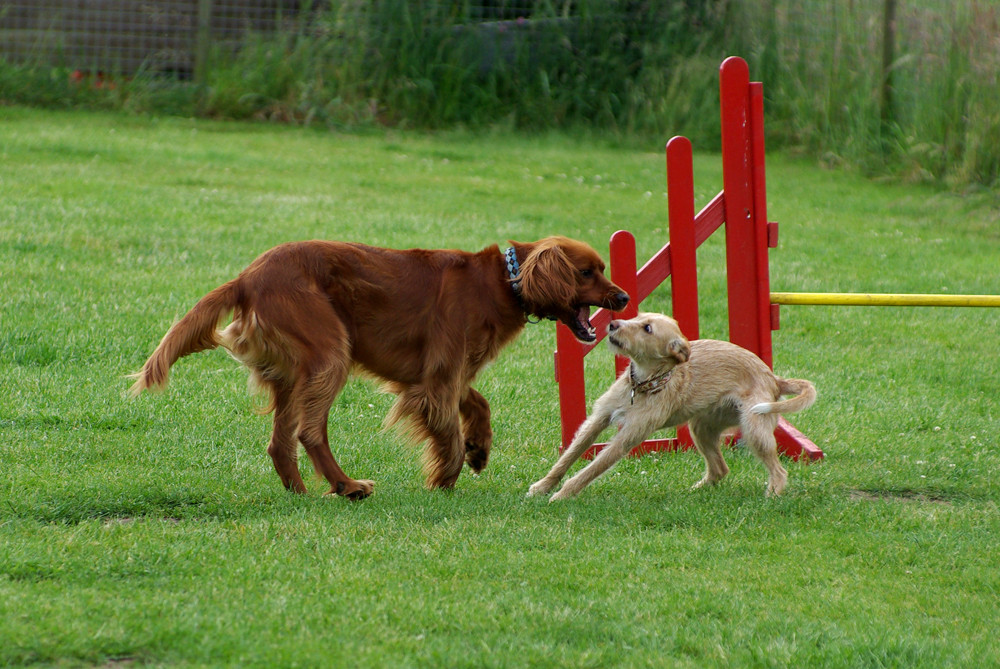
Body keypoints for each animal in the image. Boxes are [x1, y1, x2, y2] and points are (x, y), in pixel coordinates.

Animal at [125, 235, 624, 496]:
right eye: (587, 272)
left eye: (604, 267)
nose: (622, 298)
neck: (504, 280)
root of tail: (248, 276)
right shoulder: (438, 378)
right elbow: (448, 433)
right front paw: (445, 479)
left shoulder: (441, 375)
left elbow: (478, 404)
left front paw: (480, 447)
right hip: (330, 355)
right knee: (308, 431)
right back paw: (346, 486)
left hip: (294, 372)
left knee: (280, 441)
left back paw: (300, 492)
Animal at [528, 312, 816, 496]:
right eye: (637, 317)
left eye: (647, 329)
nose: (612, 324)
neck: (642, 385)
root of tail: (774, 379)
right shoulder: (598, 419)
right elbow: (568, 457)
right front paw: (543, 486)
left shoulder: (627, 437)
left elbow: (591, 469)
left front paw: (562, 495)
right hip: (701, 429)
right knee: (720, 469)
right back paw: (696, 492)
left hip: (755, 431)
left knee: (778, 471)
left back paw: (773, 495)